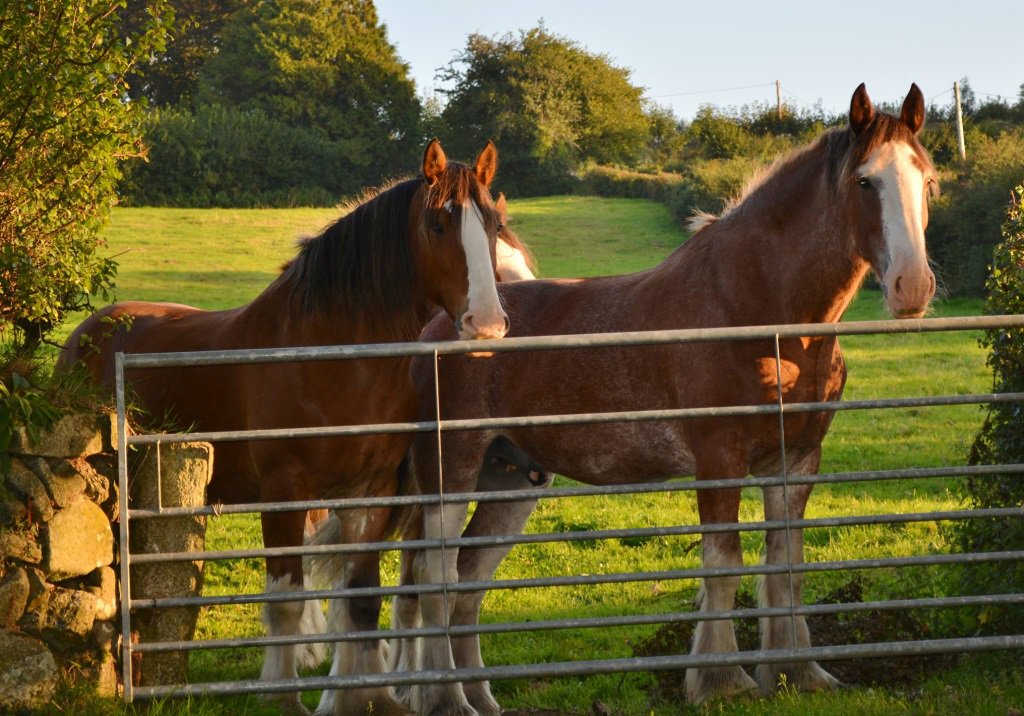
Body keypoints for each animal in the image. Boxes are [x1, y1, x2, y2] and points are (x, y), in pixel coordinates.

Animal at [59, 140, 511, 716]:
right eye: (437, 224)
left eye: (494, 224)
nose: (487, 324)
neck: (331, 358)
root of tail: (86, 333)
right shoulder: (283, 493)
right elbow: (285, 599)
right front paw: (284, 694)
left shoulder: (370, 495)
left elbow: (360, 601)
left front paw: (366, 697)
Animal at [400, 84, 937, 714]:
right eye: (864, 181)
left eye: (928, 180)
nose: (912, 287)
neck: (760, 312)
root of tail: (441, 328)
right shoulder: (719, 459)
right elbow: (724, 565)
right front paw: (720, 681)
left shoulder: (797, 460)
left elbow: (787, 564)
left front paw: (799, 672)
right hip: (452, 470)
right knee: (435, 577)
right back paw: (445, 699)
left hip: (509, 480)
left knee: (467, 580)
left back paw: (478, 698)